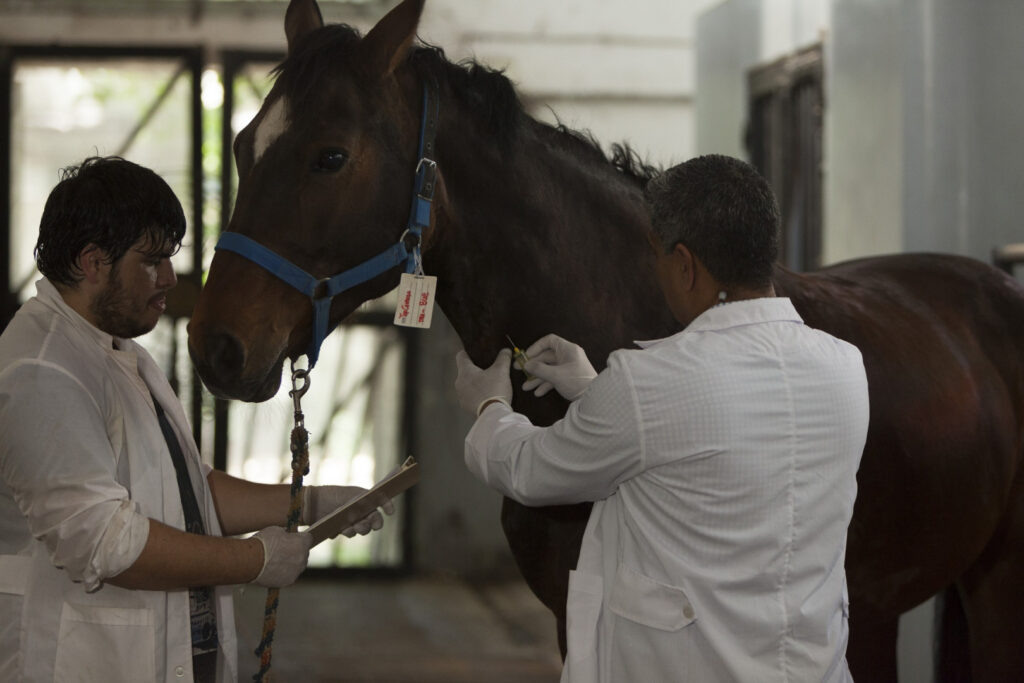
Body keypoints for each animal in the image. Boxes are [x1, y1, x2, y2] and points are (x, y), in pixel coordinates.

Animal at [188, 2, 1024, 679]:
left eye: (330, 155)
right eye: (242, 145)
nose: (214, 347)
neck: (629, 311)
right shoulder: (566, 613)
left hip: (994, 584)